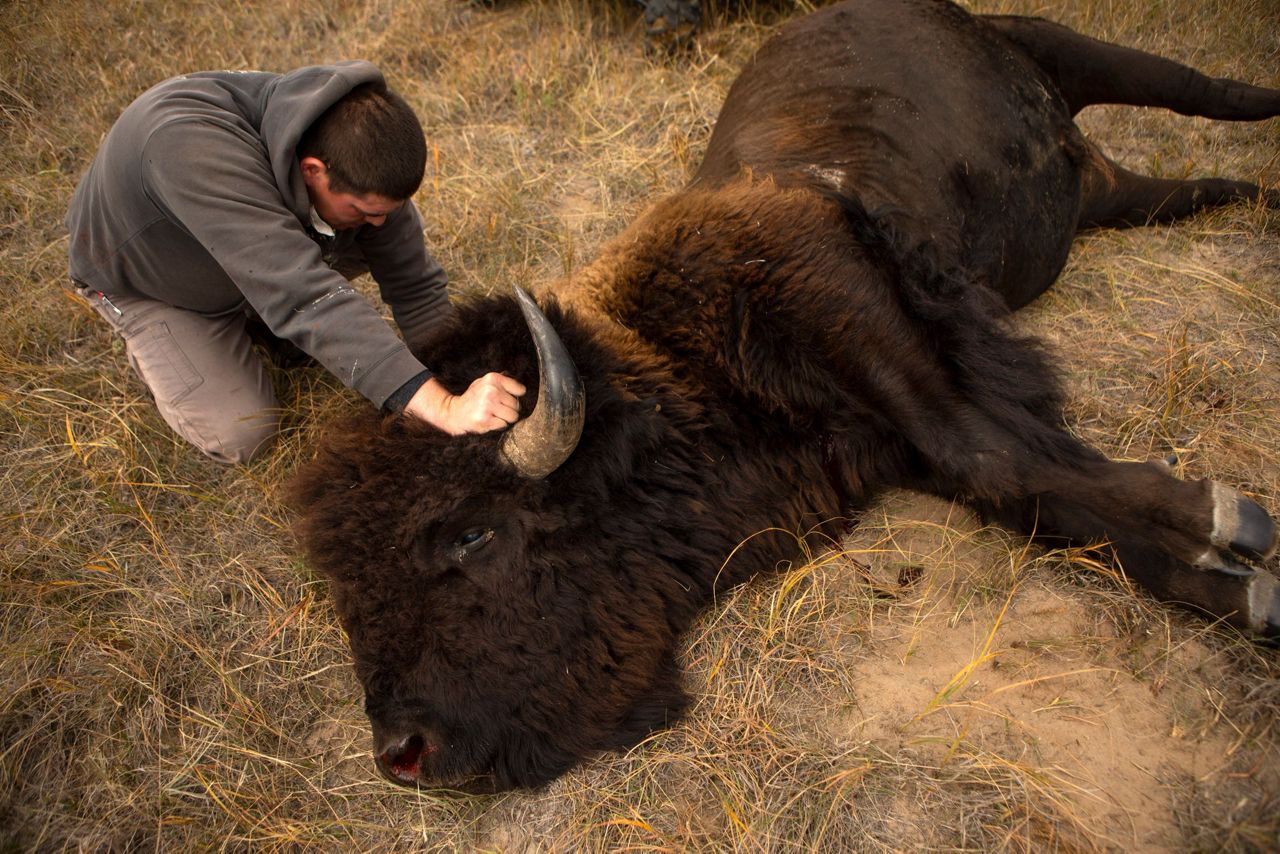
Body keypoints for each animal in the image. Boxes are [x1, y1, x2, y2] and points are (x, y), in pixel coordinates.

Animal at [289, 0, 1280, 793]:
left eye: (471, 534)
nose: (403, 752)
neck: (670, 368)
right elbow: (1031, 490)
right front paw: (1231, 574)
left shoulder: (860, 318)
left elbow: (997, 452)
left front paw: (1231, 528)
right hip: (1104, 195)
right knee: (1193, 184)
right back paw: (1252, 194)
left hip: (1073, 50)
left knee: (1212, 89)